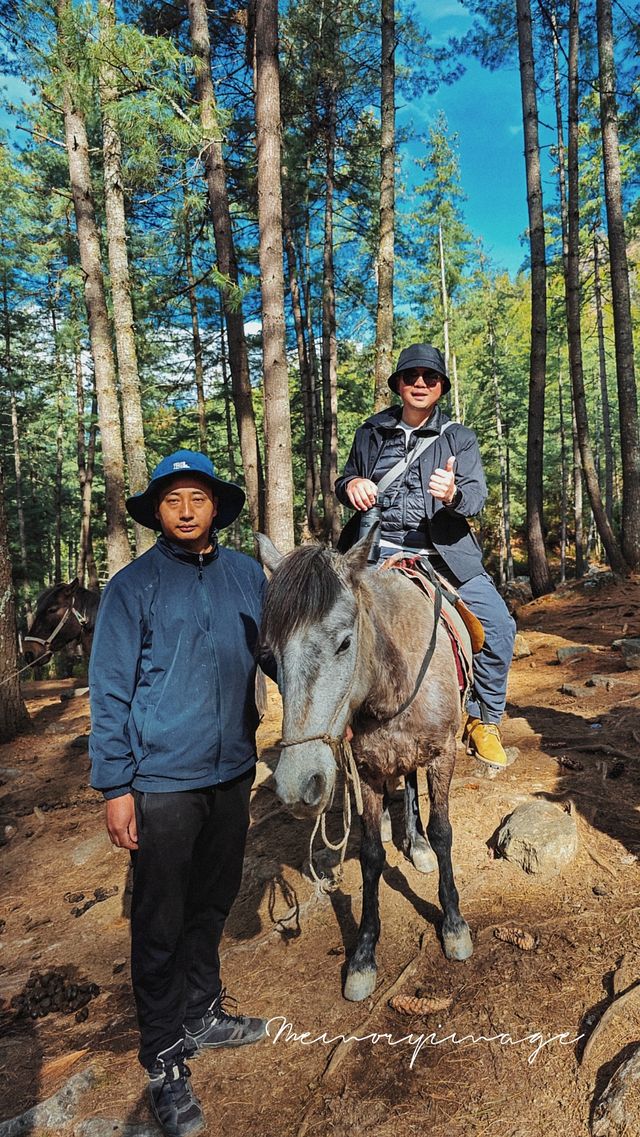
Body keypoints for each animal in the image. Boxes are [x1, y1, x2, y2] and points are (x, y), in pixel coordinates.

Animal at [258, 532, 472, 1005]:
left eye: (343, 643)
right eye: (270, 654)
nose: (298, 787)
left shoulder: (443, 753)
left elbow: (445, 833)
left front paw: (453, 923)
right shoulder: (369, 770)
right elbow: (372, 855)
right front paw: (363, 954)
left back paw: (420, 845)